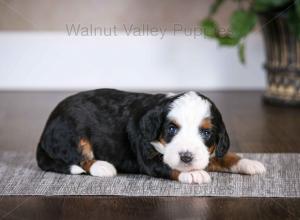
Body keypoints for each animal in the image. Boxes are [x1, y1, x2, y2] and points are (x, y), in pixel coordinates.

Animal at [36, 89, 266, 184]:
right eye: (171, 129)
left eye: (206, 132)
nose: (186, 157)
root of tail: (46, 128)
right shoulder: (148, 158)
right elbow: (168, 166)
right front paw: (194, 174)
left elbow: (224, 156)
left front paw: (249, 162)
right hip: (71, 133)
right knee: (79, 157)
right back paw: (102, 166)